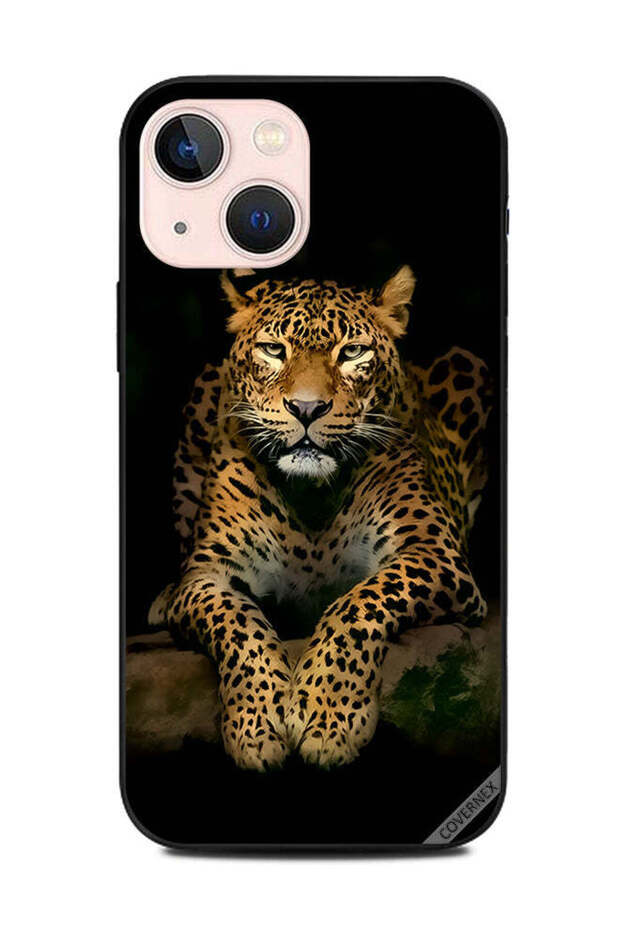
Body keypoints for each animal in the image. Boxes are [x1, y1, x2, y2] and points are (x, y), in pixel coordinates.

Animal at [148, 265, 493, 771]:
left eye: (352, 352)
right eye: (274, 350)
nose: (307, 409)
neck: (310, 496)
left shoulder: (434, 552)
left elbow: (359, 603)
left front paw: (328, 719)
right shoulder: (208, 575)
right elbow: (237, 624)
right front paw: (257, 725)